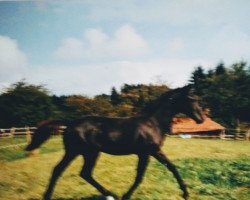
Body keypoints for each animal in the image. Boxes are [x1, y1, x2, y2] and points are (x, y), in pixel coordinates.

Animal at [25, 85, 205, 200]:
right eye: (192, 99)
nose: (201, 119)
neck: (153, 123)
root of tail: (70, 123)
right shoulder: (148, 152)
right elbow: (141, 176)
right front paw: (126, 196)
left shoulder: (151, 152)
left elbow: (170, 168)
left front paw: (185, 193)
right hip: (89, 153)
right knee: (82, 172)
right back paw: (111, 194)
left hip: (76, 152)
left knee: (62, 170)